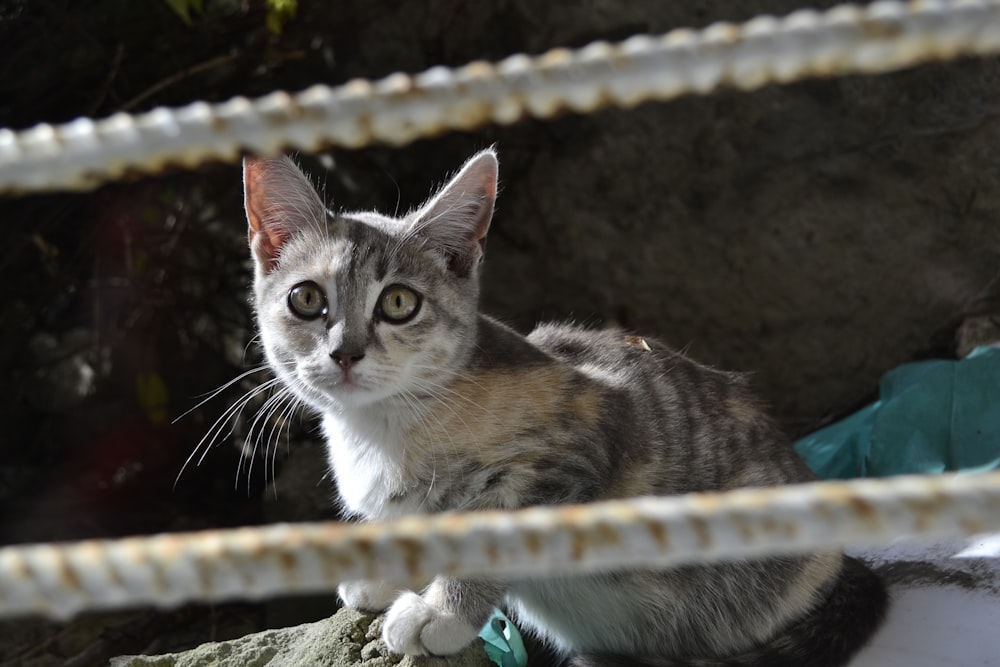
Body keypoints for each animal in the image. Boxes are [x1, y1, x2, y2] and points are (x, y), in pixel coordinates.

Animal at [244, 150, 892, 667]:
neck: (383, 428)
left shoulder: (578, 449)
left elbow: (489, 533)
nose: (345, 352)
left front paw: (441, 614)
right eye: (307, 298)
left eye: (399, 303)